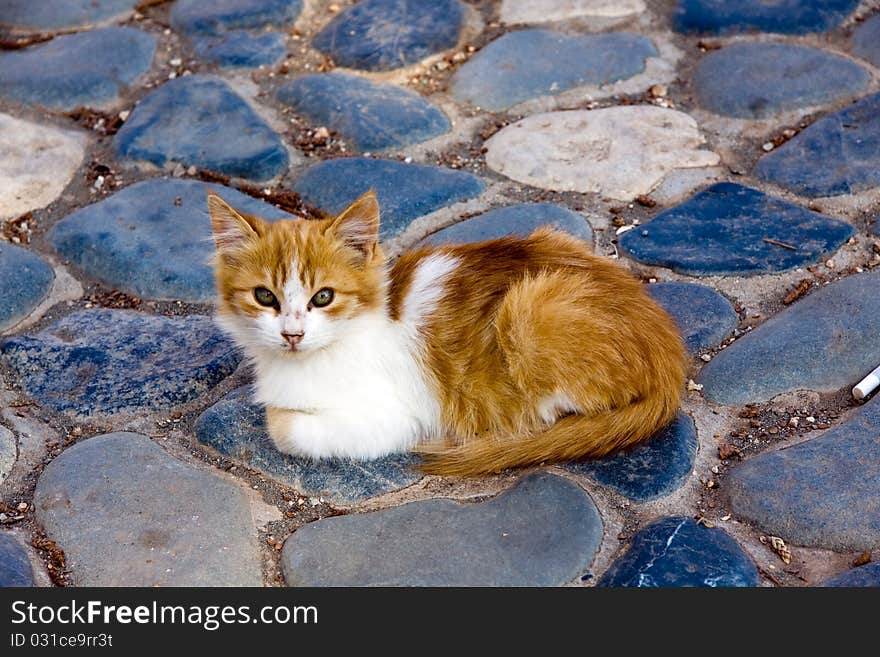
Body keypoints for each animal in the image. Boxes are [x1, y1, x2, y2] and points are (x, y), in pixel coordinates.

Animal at [208, 192, 688, 474]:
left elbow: (283, 426)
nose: (292, 334)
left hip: (531, 307)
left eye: (323, 297)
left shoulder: (395, 415)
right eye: (265, 297)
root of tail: (668, 353)